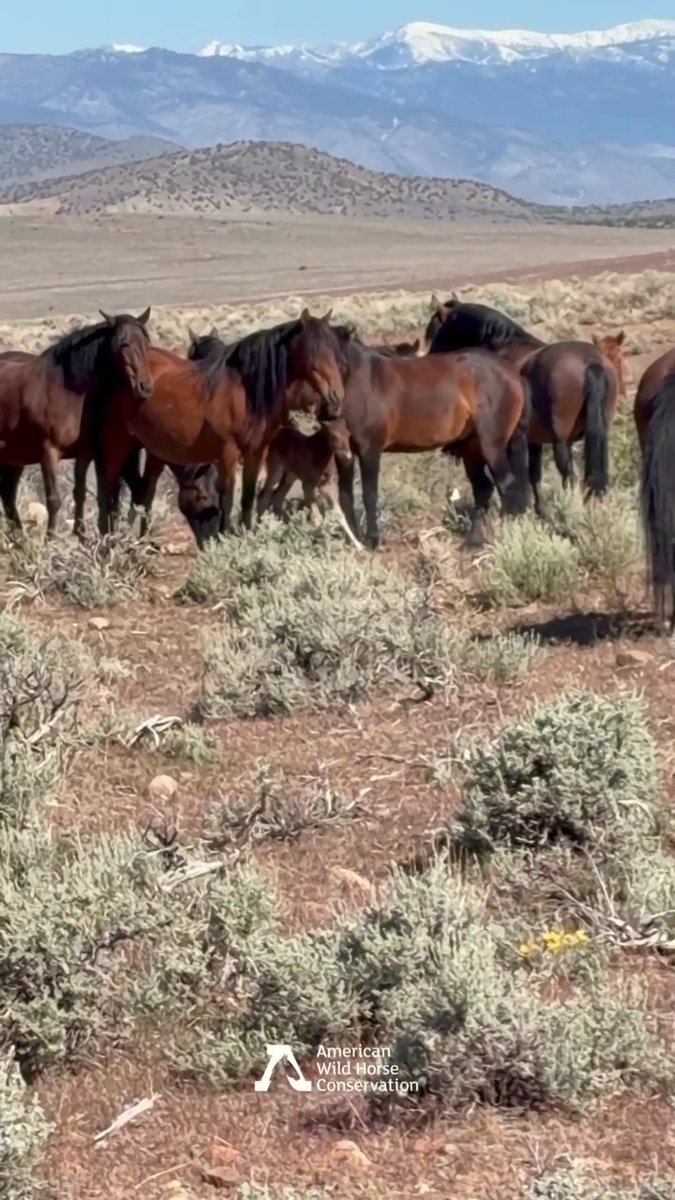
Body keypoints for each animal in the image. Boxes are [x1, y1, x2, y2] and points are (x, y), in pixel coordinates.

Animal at [0, 310, 153, 537]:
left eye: (146, 343)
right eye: (124, 344)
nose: (145, 387)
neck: (64, 391)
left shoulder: (84, 453)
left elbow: (79, 493)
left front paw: (80, 536)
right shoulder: (49, 453)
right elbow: (54, 500)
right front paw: (51, 538)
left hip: (13, 459)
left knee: (8, 496)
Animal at [99, 309, 346, 536]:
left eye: (335, 351)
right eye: (314, 351)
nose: (336, 396)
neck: (244, 391)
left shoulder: (256, 451)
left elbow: (248, 497)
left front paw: (246, 535)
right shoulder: (227, 452)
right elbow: (227, 498)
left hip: (155, 450)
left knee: (145, 494)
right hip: (122, 443)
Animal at [256, 418, 362, 548]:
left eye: (348, 435)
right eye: (333, 436)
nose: (348, 456)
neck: (319, 456)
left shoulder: (326, 485)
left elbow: (339, 513)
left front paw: (359, 545)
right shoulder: (308, 485)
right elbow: (317, 518)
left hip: (290, 476)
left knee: (278, 497)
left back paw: (284, 525)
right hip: (275, 470)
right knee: (265, 495)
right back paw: (259, 529)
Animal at [329, 326, 531, 549]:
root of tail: (513, 374)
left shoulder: (369, 449)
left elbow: (368, 493)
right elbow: (346, 495)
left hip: (492, 446)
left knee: (506, 485)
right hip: (473, 449)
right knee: (485, 488)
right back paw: (474, 541)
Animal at [425, 297, 626, 514]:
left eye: (436, 331)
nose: (431, 360)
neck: (501, 345)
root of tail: (591, 363)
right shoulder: (532, 439)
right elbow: (533, 476)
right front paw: (539, 511)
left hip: (562, 443)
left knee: (569, 477)